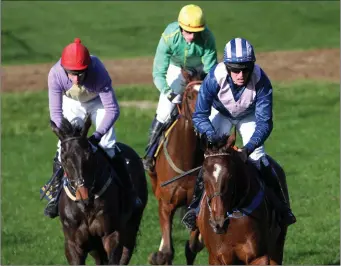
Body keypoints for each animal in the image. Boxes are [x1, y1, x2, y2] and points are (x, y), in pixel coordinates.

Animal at [50, 116, 147, 264]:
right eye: (64, 158)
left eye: (88, 155)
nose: (82, 194)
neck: (86, 206)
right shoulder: (73, 243)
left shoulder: (112, 234)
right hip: (95, 246)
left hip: (131, 228)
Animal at [187, 132, 288, 264]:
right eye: (203, 177)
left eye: (230, 176)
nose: (218, 223)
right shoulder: (217, 258)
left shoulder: (259, 256)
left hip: (277, 246)